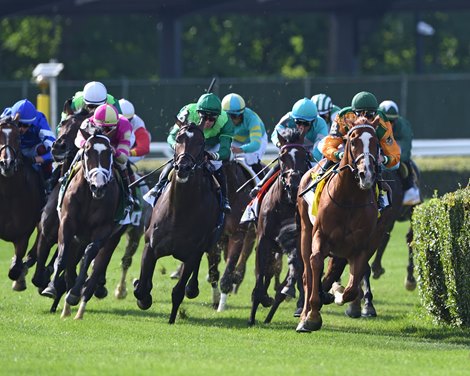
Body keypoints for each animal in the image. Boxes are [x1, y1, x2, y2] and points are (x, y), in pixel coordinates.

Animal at [0, 116, 44, 290]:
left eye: (18, 138)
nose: (7, 164)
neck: (8, 194)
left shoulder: (23, 235)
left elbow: (14, 269)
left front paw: (19, 277)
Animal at [41, 129, 123, 320]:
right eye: (87, 151)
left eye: (110, 152)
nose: (98, 186)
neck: (90, 197)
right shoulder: (67, 223)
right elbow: (62, 257)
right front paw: (51, 287)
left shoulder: (103, 230)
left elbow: (88, 257)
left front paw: (74, 293)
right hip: (77, 240)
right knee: (70, 267)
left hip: (109, 240)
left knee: (94, 268)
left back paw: (79, 306)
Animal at [133, 122, 219, 324]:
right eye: (179, 138)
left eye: (201, 142)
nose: (183, 167)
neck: (179, 212)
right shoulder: (150, 246)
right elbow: (141, 289)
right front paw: (143, 297)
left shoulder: (192, 254)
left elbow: (178, 291)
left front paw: (172, 319)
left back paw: (192, 288)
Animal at [248, 129, 310, 326]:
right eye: (282, 157)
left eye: (305, 155)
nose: (294, 185)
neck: (285, 204)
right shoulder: (263, 240)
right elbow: (261, 276)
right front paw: (253, 313)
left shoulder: (296, 241)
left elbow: (294, 272)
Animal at [300, 117, 388, 332]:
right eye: (353, 141)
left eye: (376, 143)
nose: (367, 174)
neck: (349, 199)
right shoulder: (320, 235)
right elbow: (315, 263)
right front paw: (311, 317)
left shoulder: (361, 245)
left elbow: (352, 286)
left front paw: (338, 295)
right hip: (305, 230)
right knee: (307, 273)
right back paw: (305, 313)